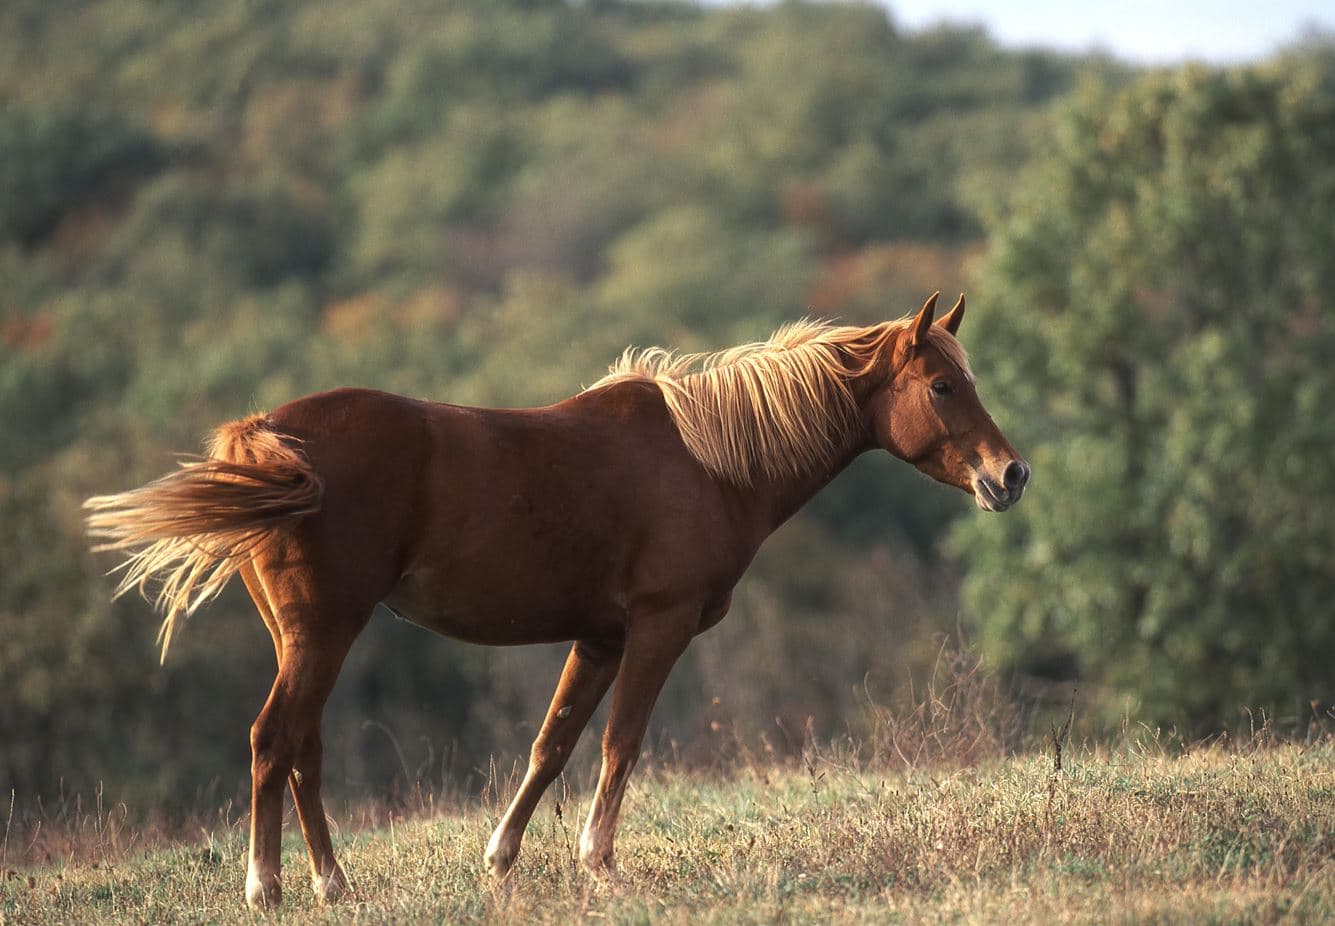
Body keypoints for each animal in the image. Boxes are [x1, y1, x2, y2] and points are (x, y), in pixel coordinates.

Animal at [86, 293, 1030, 912]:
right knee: (274, 740)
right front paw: (599, 865)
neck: (709, 460)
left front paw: (500, 860)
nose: (1010, 475)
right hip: (322, 632)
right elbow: (619, 744)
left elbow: (553, 744)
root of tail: (264, 438)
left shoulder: (599, 639)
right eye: (942, 387)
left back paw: (333, 883)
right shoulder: (656, 628)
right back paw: (270, 887)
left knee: (302, 749)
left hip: (305, 637)